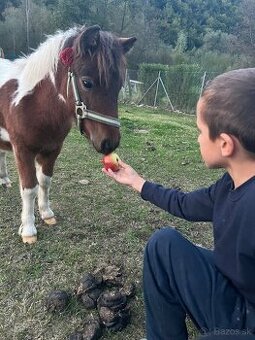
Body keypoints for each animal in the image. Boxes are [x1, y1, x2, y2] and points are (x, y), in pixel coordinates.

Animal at [0, 25, 136, 243]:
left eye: (119, 85)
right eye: (87, 82)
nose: (110, 143)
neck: (35, 106)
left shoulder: (52, 150)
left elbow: (44, 182)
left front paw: (46, 213)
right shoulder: (23, 151)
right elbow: (29, 189)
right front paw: (28, 229)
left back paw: (4, 180)